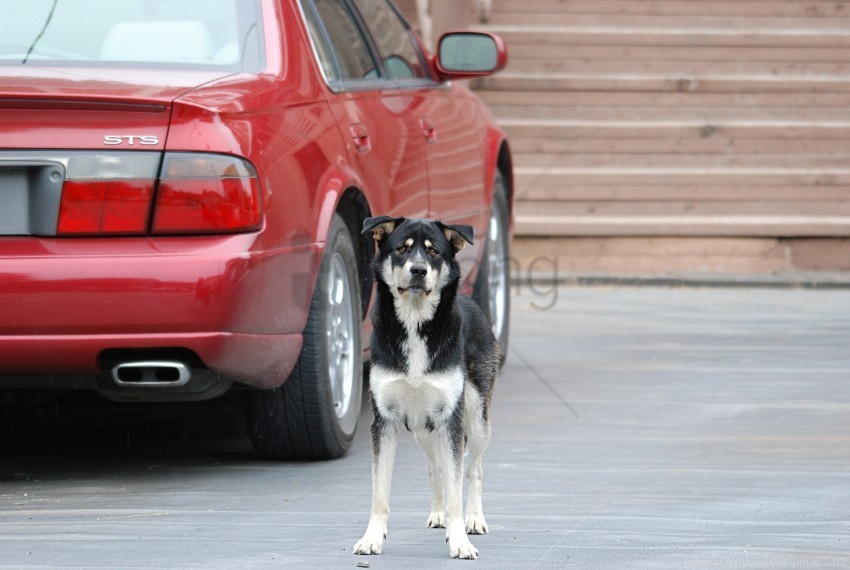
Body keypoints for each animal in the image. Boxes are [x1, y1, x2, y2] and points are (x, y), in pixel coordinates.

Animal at [352, 215, 496, 556]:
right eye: (402, 249)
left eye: (433, 252)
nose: (418, 270)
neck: (415, 324)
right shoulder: (384, 422)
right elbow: (380, 492)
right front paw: (372, 538)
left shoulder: (451, 421)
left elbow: (458, 483)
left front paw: (460, 541)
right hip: (422, 429)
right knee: (437, 469)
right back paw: (439, 513)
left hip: (476, 417)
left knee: (473, 468)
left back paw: (474, 519)